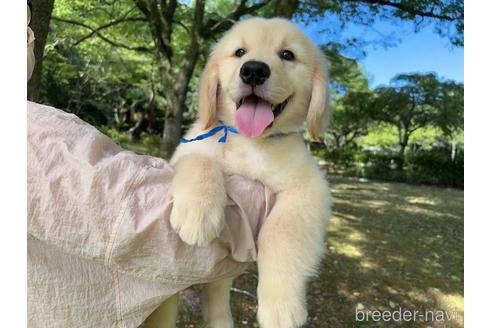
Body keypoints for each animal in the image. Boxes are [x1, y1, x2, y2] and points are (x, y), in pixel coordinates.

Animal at [156, 17, 332, 328]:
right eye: (239, 52)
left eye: (287, 55)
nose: (254, 70)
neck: (250, 142)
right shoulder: (186, 152)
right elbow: (201, 161)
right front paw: (198, 214)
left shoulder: (310, 187)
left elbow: (284, 232)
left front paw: (281, 306)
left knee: (215, 294)